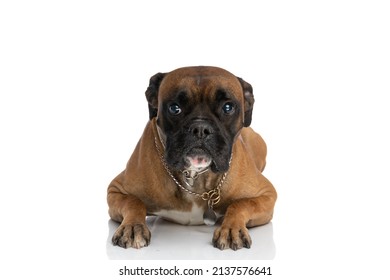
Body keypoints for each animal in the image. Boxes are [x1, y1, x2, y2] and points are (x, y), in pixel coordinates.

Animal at [106, 65, 278, 249]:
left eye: (228, 107)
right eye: (174, 108)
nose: (200, 128)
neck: (195, 175)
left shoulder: (267, 195)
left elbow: (241, 204)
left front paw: (231, 228)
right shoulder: (115, 190)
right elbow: (133, 201)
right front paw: (132, 227)